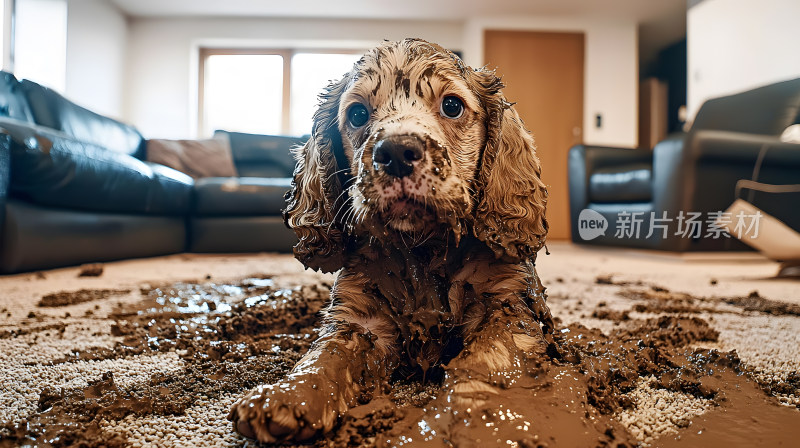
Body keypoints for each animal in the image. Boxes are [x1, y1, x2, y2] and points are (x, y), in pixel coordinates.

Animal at [228, 38, 552, 444]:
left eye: (452, 106)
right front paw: (288, 396)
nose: (395, 152)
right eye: (357, 114)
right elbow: (325, 355)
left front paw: (466, 418)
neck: (423, 248)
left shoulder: (506, 307)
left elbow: (485, 361)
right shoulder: (360, 318)